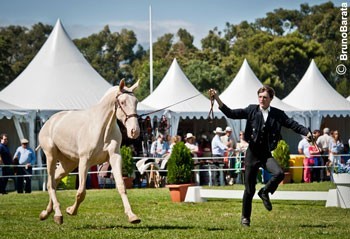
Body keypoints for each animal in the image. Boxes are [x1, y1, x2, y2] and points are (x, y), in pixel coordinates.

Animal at [38, 80, 141, 224]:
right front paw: (71, 210)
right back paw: (58, 214)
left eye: (136, 102)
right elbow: (81, 192)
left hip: (68, 164)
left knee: (53, 181)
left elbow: (121, 186)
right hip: (51, 156)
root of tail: (50, 122)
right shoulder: (84, 161)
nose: (134, 131)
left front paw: (132, 216)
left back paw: (46, 213)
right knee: (51, 184)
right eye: (123, 102)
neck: (103, 128)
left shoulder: (115, 157)